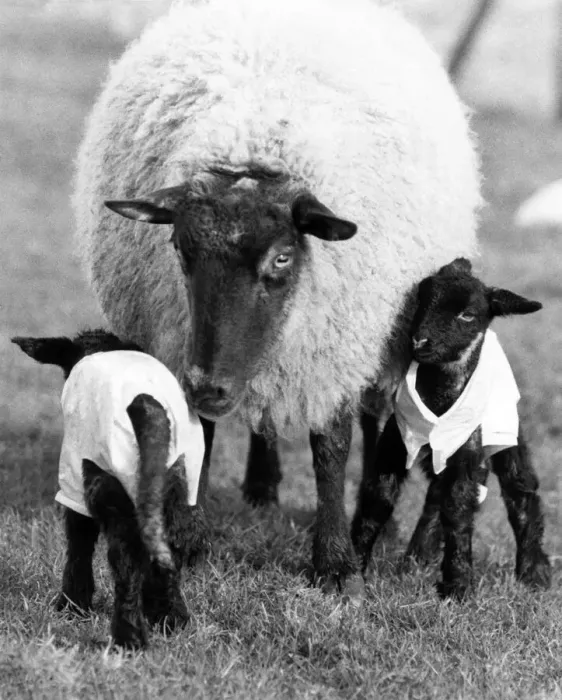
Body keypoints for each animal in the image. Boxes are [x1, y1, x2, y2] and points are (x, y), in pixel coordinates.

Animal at [12, 329, 207, 649]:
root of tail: (146, 405)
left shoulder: (76, 484)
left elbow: (78, 546)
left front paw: (72, 607)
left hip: (113, 485)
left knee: (125, 563)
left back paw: (129, 638)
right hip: (178, 484)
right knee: (171, 548)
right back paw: (170, 619)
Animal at [73, 0, 482, 599]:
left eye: (283, 259)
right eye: (179, 249)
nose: (210, 386)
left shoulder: (333, 342)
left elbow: (331, 446)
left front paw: (335, 563)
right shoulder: (194, 348)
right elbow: (202, 431)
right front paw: (187, 540)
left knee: (372, 415)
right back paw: (261, 488)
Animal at [351, 258, 551, 599]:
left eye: (467, 315)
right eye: (421, 300)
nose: (419, 341)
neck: (439, 396)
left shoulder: (467, 453)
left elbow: (458, 507)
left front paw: (458, 586)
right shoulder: (394, 445)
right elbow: (378, 498)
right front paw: (350, 568)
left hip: (505, 430)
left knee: (520, 489)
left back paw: (534, 573)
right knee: (436, 494)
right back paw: (418, 557)